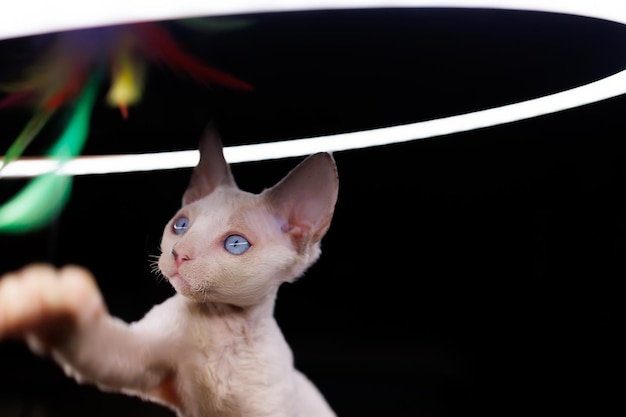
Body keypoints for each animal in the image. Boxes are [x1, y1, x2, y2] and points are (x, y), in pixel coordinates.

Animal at [0, 123, 336, 416]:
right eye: (181, 225)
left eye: (236, 244)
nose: (179, 254)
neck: (221, 323)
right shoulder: (140, 360)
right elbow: (93, 343)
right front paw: (52, 310)